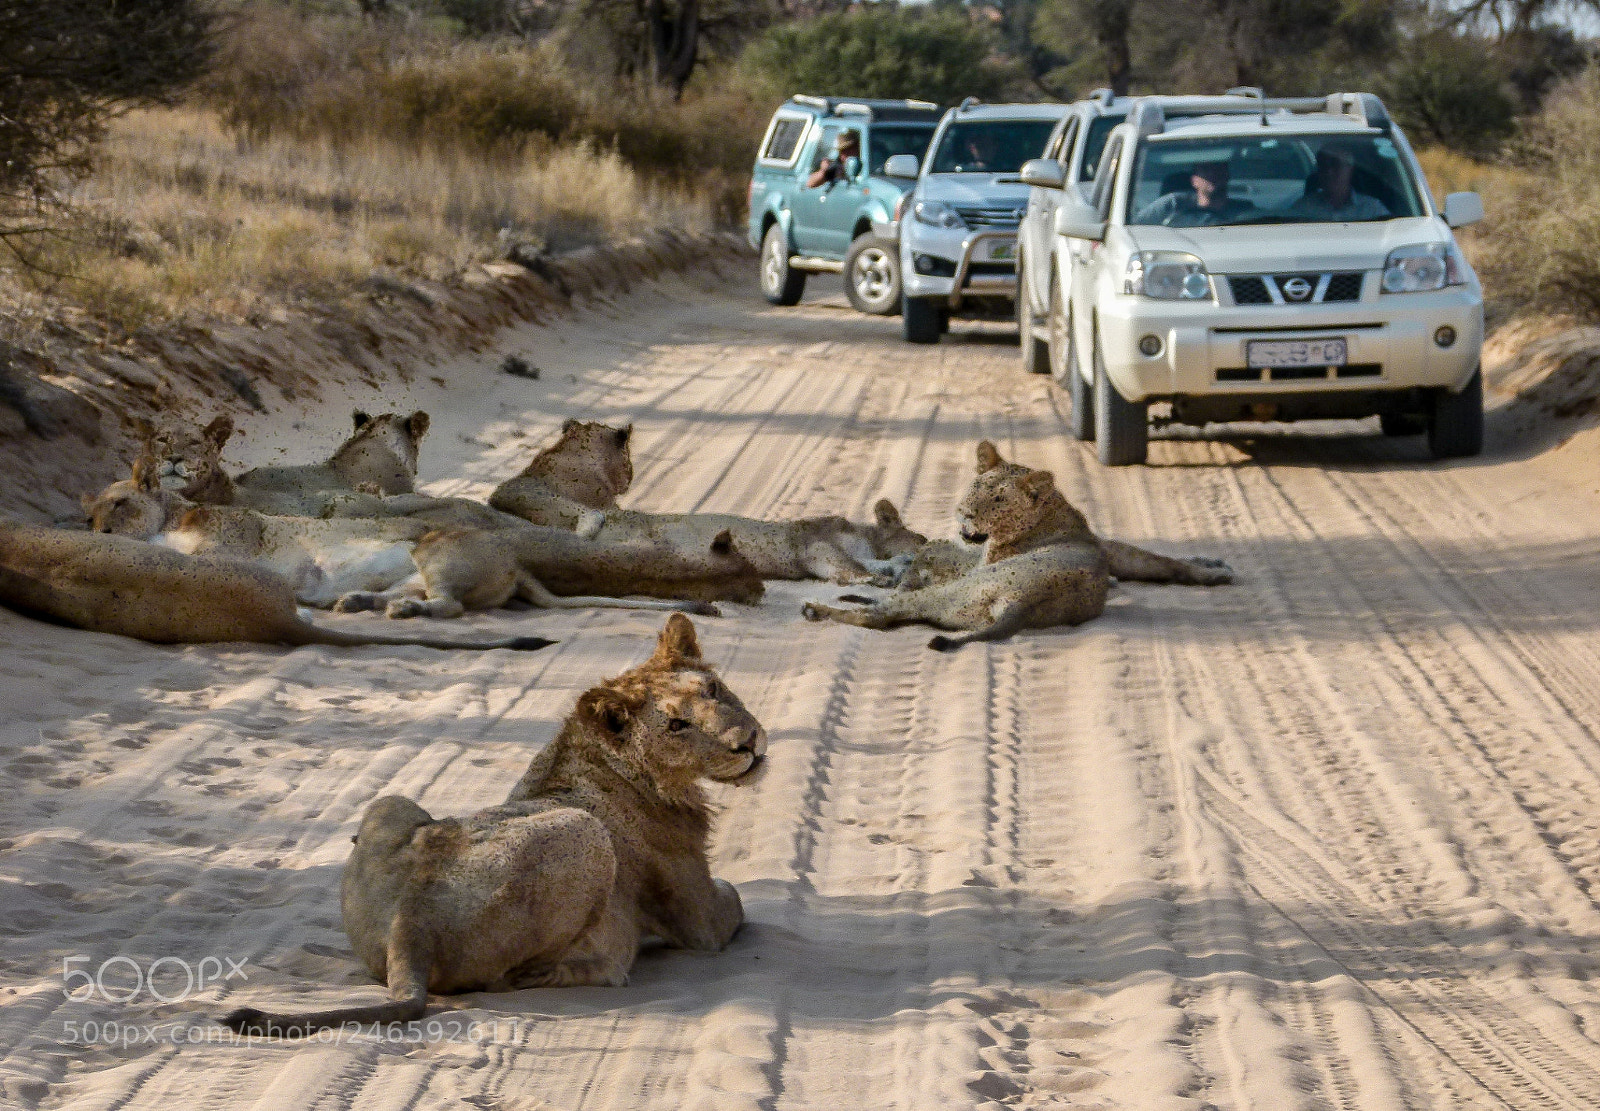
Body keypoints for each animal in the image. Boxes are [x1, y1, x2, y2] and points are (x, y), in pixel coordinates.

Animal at [222, 614, 764, 1037]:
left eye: (713, 690)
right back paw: (606, 964)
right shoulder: (699, 921)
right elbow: (736, 900)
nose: (749, 742)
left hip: (391, 804)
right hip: (583, 830)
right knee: (523, 977)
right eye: (676, 725)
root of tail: (408, 930)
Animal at [800, 441, 1235, 653]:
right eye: (978, 485)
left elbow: (929, 557)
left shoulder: (971, 565)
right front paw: (1210, 568)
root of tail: (1025, 605)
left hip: (955, 594)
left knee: (882, 616)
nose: (964, 512)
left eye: (997, 500)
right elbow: (1157, 560)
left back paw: (820, 608)